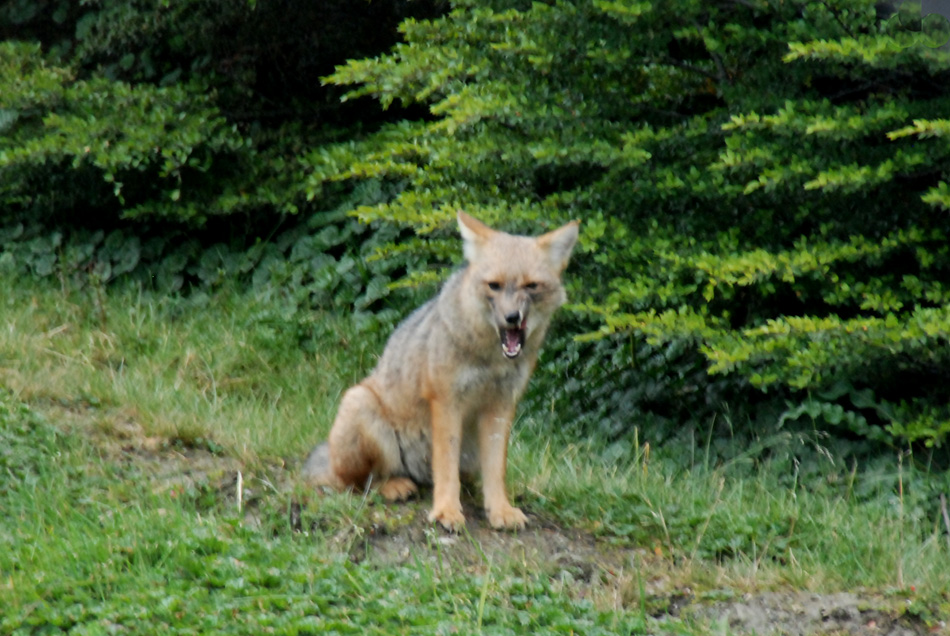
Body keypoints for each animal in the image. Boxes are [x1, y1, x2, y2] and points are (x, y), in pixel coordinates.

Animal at [304, 212, 580, 532]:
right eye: (494, 285)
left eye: (531, 286)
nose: (512, 318)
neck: (489, 359)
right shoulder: (447, 402)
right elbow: (446, 468)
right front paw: (447, 511)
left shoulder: (500, 406)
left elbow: (496, 471)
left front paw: (500, 510)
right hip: (360, 404)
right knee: (357, 484)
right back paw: (395, 486)